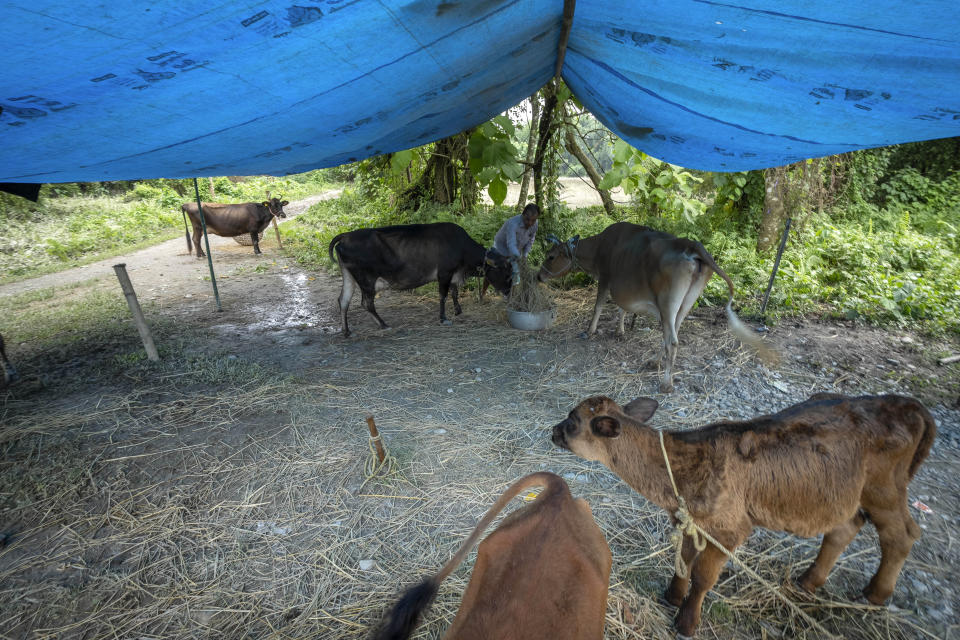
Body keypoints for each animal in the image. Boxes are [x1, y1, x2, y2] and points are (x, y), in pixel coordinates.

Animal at [328, 222, 512, 338]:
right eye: (505, 272)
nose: (508, 292)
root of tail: (346, 236)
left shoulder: (453, 274)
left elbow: (454, 292)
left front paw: (458, 310)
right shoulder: (444, 273)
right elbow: (443, 295)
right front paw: (443, 318)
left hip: (349, 276)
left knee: (343, 300)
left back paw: (347, 331)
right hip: (367, 279)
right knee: (366, 303)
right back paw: (383, 324)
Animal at [540, 222, 772, 392]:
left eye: (550, 256)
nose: (538, 276)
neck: (598, 250)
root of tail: (693, 245)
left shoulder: (605, 278)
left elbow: (598, 307)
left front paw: (589, 331)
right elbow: (622, 308)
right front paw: (620, 331)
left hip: (668, 302)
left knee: (673, 341)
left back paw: (666, 383)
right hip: (685, 303)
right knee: (671, 334)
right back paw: (654, 362)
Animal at [552, 392, 932, 636]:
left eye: (573, 421)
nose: (552, 431)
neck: (681, 472)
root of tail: (909, 405)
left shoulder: (729, 528)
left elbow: (703, 576)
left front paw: (686, 623)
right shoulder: (691, 520)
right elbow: (684, 559)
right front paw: (671, 597)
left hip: (884, 487)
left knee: (902, 534)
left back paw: (876, 594)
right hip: (844, 493)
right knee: (846, 525)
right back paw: (808, 581)